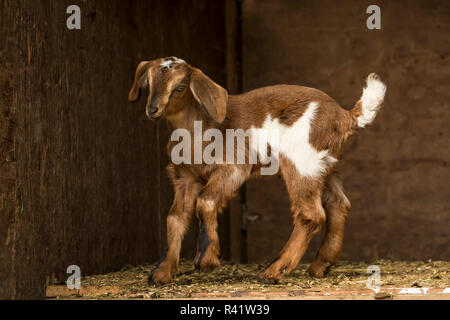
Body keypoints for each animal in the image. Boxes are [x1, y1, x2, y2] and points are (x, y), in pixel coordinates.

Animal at [128, 56, 384, 284]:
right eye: (148, 84)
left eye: (180, 88)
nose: (153, 109)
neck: (196, 129)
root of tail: (345, 116)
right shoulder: (184, 179)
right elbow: (175, 218)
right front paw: (161, 273)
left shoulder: (233, 167)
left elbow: (205, 201)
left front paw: (207, 259)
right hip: (327, 166)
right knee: (339, 205)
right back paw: (321, 265)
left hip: (302, 162)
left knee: (311, 214)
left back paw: (274, 271)